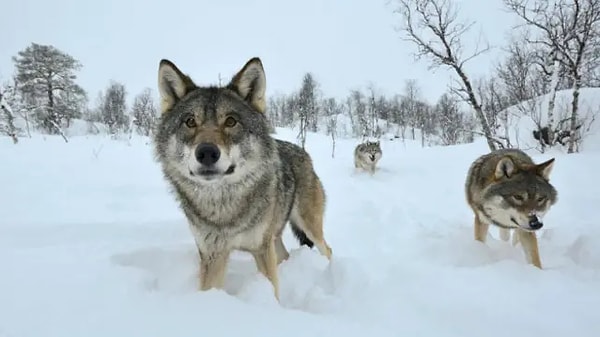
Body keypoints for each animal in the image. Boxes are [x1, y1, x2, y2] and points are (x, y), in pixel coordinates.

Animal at [152, 55, 332, 300]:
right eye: (190, 122)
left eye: (230, 121)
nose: (206, 153)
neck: (223, 209)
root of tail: (303, 152)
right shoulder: (213, 254)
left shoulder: (261, 250)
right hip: (275, 237)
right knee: (284, 255)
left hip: (308, 227)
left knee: (327, 249)